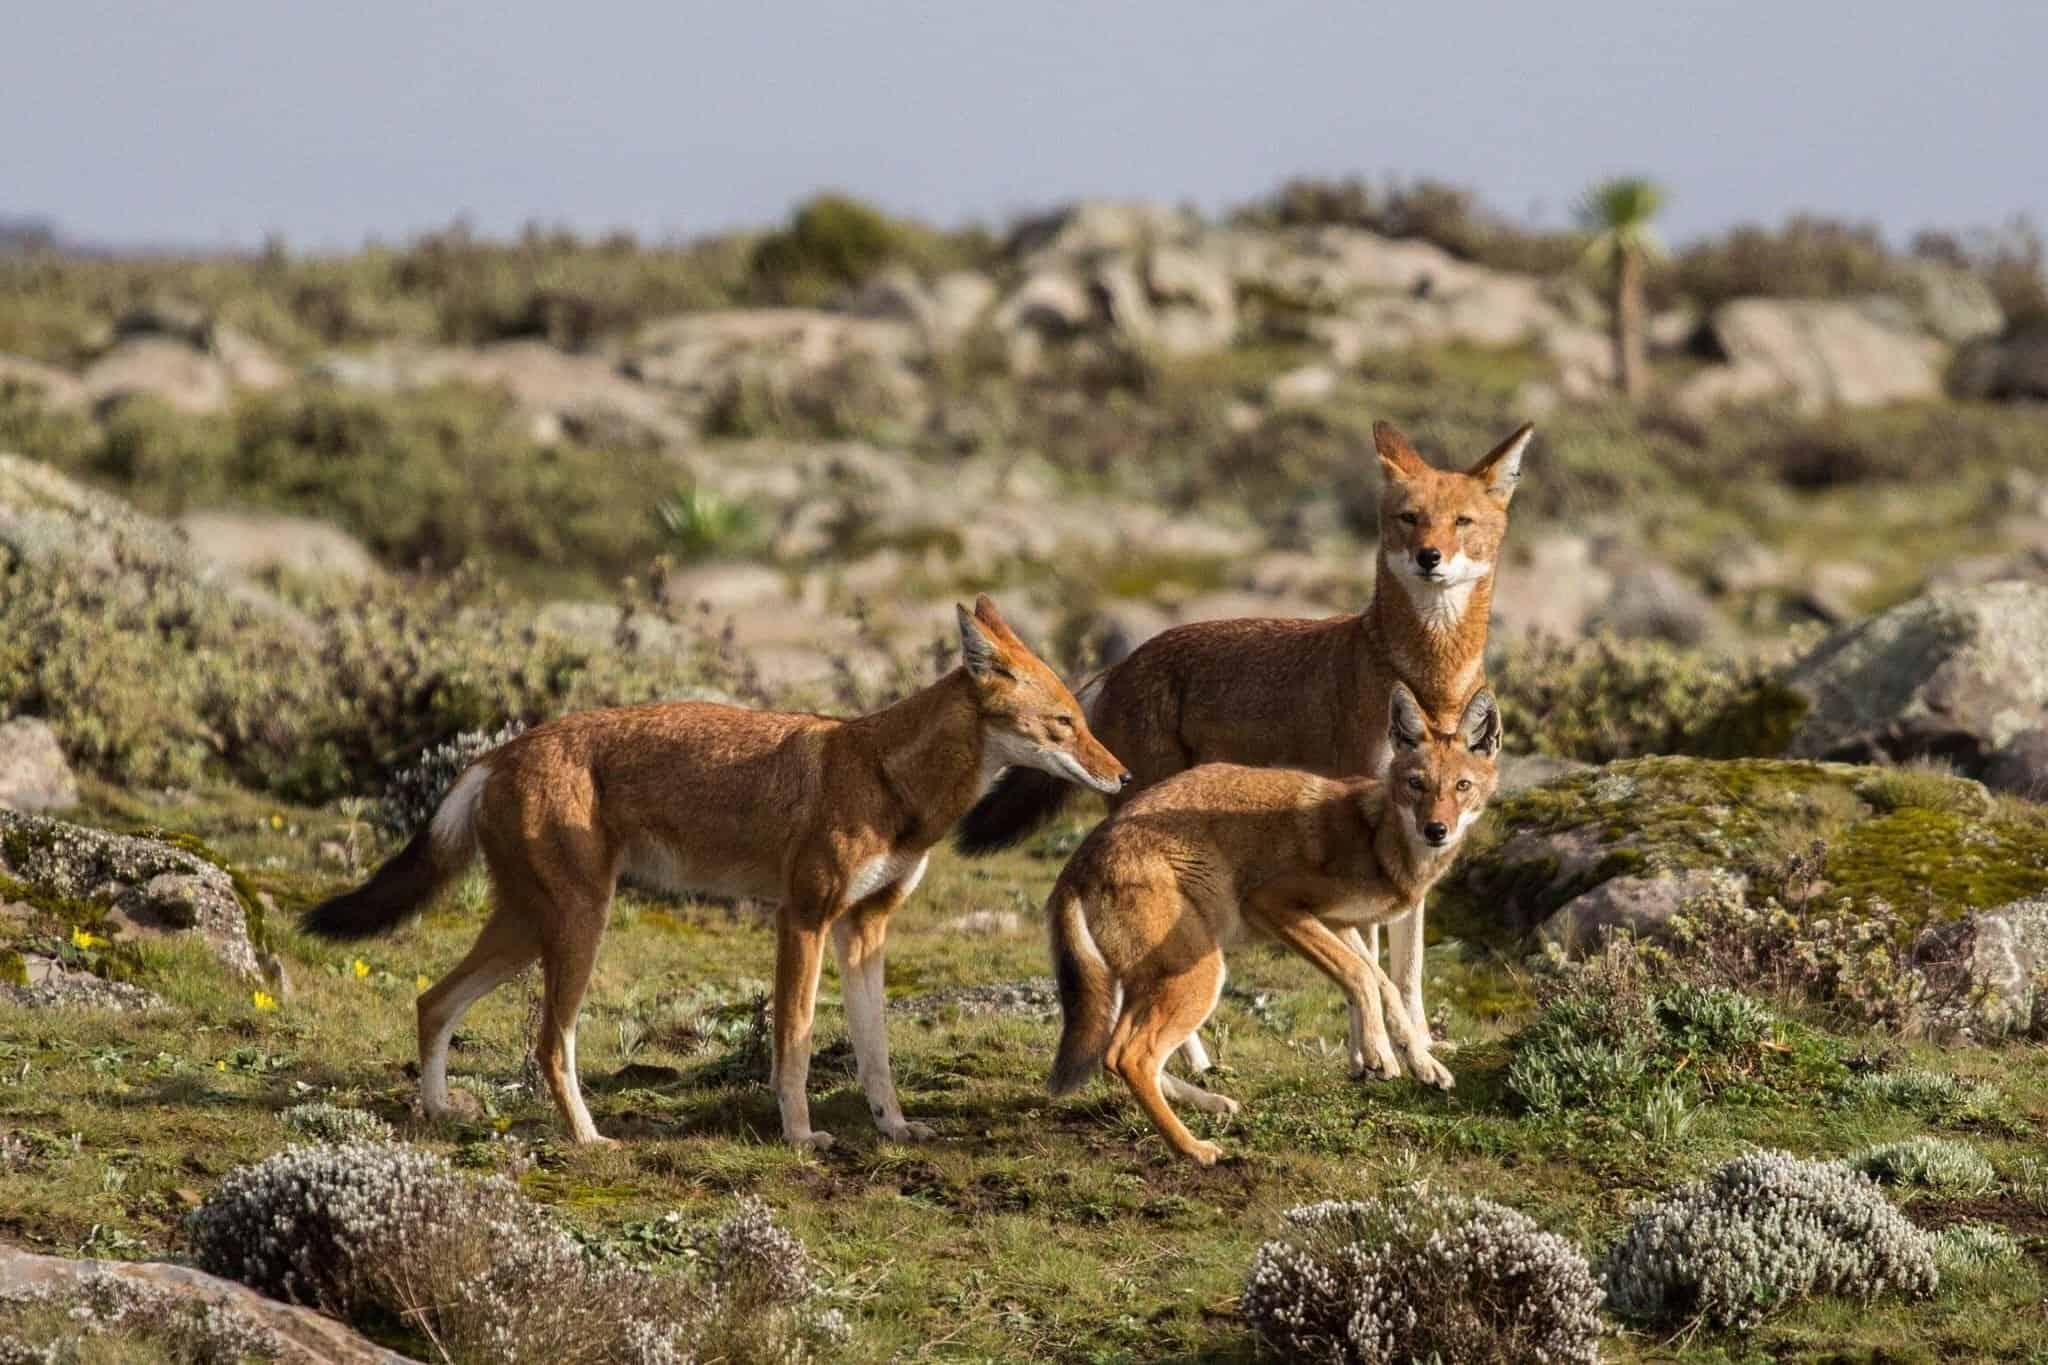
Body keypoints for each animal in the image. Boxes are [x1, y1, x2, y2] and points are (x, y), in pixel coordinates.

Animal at [303, 601, 1122, 1154]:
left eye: (1084, 719)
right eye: (1063, 724)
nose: (1121, 774)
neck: (886, 778)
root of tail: (499, 751)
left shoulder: (866, 931)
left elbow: (876, 1052)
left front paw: (893, 1126)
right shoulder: (803, 918)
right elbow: (794, 1040)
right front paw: (800, 1136)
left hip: (527, 931)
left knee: (431, 1001)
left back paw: (440, 1112)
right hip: (576, 930)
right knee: (547, 1045)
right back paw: (589, 1139)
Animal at [1048, 687, 1499, 1170]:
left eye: (1462, 786)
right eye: (1417, 784)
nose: (1437, 830)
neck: (1377, 837)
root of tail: (1078, 860)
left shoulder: (1339, 922)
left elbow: (1385, 985)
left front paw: (1423, 1065)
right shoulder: (1275, 903)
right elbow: (1362, 976)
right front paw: (1379, 1055)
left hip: (1152, 984)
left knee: (1114, 1055)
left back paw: (1212, 1104)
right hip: (1200, 976)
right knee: (1132, 1057)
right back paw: (1193, 1148)